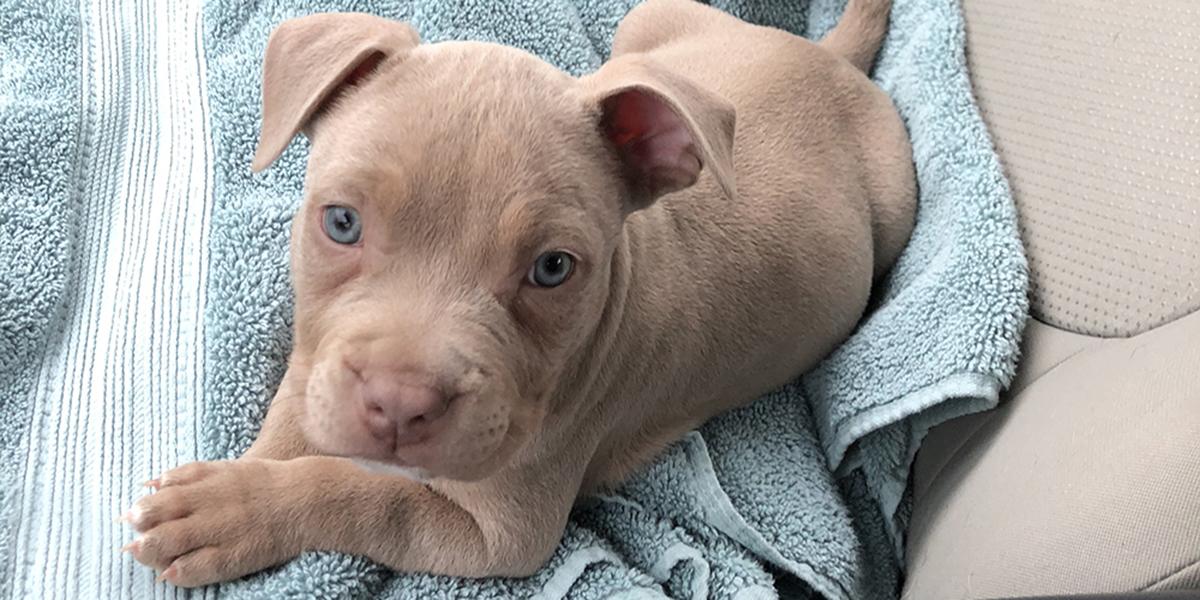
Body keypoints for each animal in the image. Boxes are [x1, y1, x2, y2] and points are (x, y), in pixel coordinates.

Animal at [121, 0, 912, 585]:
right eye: (341, 222)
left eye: (553, 269)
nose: (398, 405)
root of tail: (829, 56)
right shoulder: (319, 357)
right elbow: (299, 422)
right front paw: (236, 482)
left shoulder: (499, 536)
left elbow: (366, 496)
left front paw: (231, 511)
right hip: (649, 26)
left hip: (896, 209)